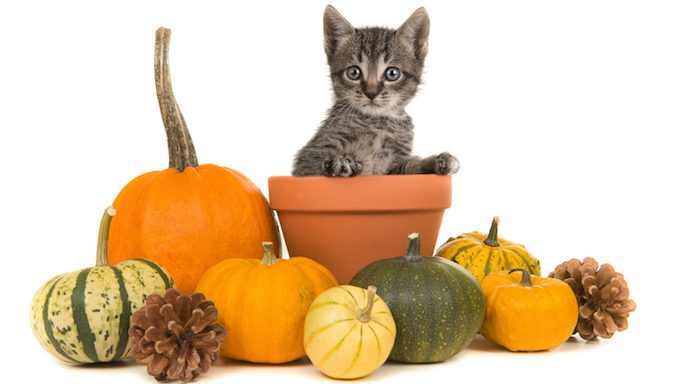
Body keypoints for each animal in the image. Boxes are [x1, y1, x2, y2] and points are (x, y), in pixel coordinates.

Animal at [290, 5, 456, 176]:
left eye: (392, 73)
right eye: (354, 72)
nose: (371, 92)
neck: (378, 123)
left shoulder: (393, 167)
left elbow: (410, 167)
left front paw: (436, 162)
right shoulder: (308, 160)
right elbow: (317, 166)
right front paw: (340, 161)